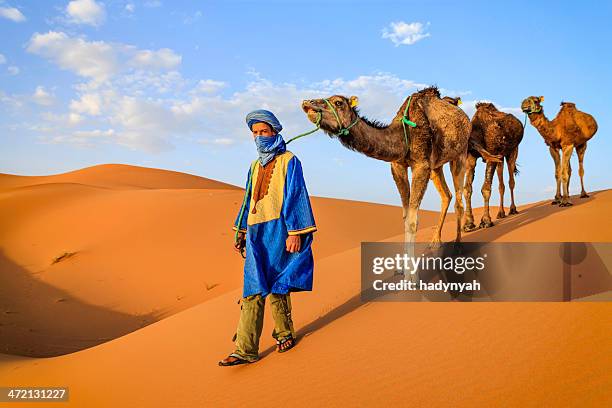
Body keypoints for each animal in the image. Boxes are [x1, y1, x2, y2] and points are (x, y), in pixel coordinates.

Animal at [302, 86, 498, 245]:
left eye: (338, 102)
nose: (307, 102)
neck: (402, 136)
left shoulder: (421, 165)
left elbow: (412, 220)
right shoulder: (398, 165)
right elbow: (405, 216)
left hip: (459, 154)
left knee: (458, 199)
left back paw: (457, 245)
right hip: (436, 165)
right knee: (447, 195)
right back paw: (435, 243)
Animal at [462, 102, 524, 230]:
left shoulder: (493, 153)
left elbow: (485, 188)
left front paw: (486, 221)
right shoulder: (471, 157)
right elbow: (467, 189)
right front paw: (468, 224)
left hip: (512, 151)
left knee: (511, 181)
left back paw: (512, 209)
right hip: (500, 158)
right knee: (501, 185)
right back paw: (501, 213)